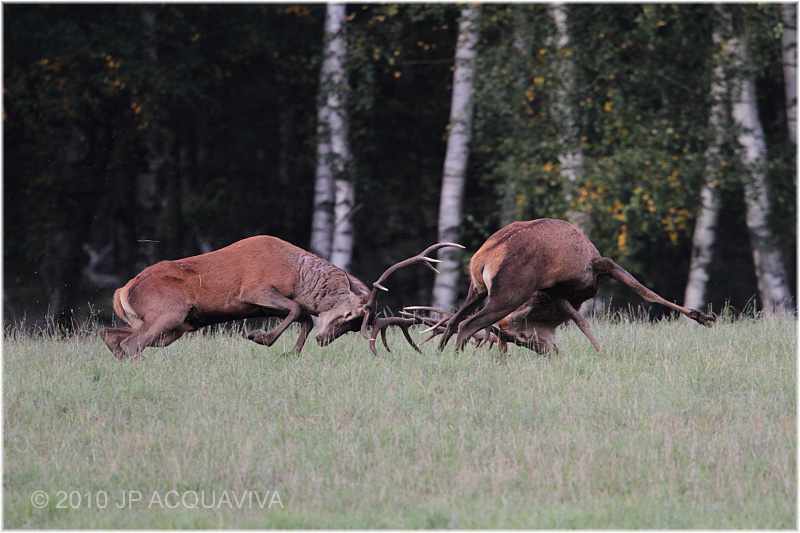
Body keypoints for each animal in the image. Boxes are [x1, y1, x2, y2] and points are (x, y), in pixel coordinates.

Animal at [98, 236, 462, 358]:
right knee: (130, 343)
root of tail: (122, 291)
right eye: (350, 318)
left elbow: (302, 316)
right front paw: (260, 338)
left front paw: (291, 352)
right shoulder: (254, 288)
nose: (325, 340)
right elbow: (298, 308)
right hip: (171, 311)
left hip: (174, 326)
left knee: (111, 334)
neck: (294, 273)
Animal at [434, 218, 716, 356]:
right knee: (467, 324)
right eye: (523, 337)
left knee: (452, 321)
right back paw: (457, 359)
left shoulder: (554, 292)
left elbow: (580, 321)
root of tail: (481, 258)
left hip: (477, 288)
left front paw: (601, 352)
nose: (549, 353)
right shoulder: (600, 264)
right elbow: (647, 293)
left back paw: (439, 355)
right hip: (510, 292)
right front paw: (703, 317)